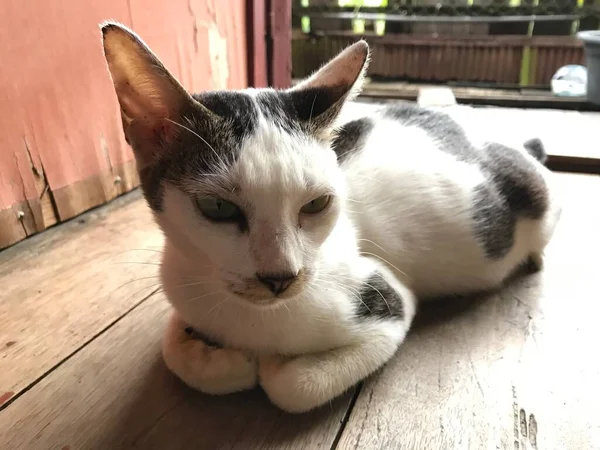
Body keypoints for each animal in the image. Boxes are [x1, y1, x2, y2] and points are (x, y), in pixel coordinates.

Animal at [101, 22, 560, 414]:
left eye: (316, 204)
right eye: (218, 208)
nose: (280, 277)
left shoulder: (389, 301)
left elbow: (292, 388)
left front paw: (270, 365)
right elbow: (174, 350)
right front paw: (214, 356)